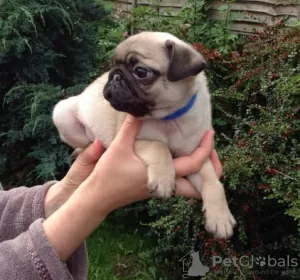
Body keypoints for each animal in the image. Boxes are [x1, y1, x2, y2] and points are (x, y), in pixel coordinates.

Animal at [53, 32, 237, 238]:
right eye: (112, 65)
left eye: (141, 72)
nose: (115, 75)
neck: (168, 118)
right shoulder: (132, 139)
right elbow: (158, 146)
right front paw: (163, 180)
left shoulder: (196, 155)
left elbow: (213, 182)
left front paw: (220, 218)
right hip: (63, 114)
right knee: (87, 143)